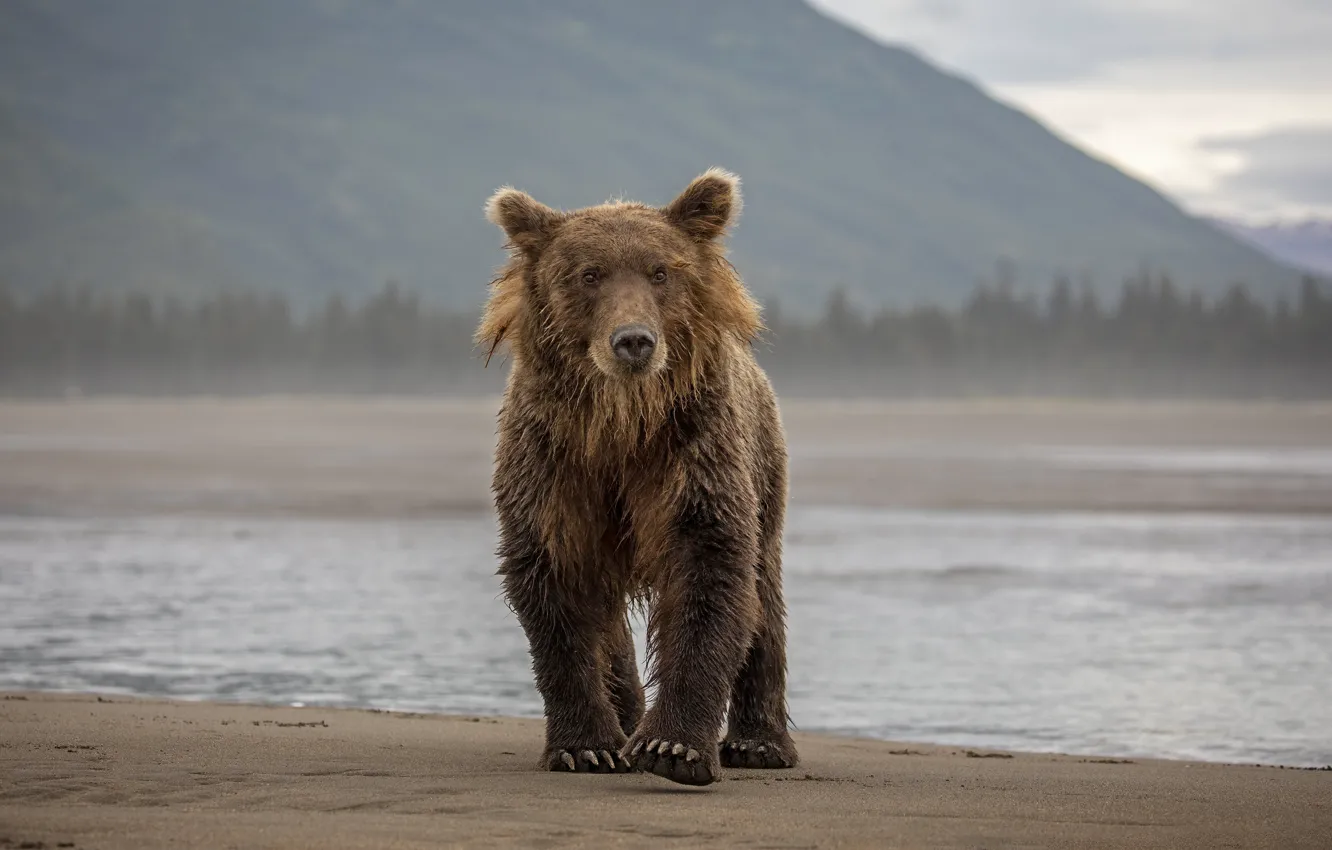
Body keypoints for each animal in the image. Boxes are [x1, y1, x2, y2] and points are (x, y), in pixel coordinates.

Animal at [476, 168, 796, 786]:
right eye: (588, 274)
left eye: (661, 271)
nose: (633, 341)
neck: (621, 424)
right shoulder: (553, 466)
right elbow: (553, 588)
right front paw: (585, 746)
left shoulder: (691, 453)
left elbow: (711, 574)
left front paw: (674, 747)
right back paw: (624, 721)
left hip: (765, 466)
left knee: (764, 595)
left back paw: (760, 742)